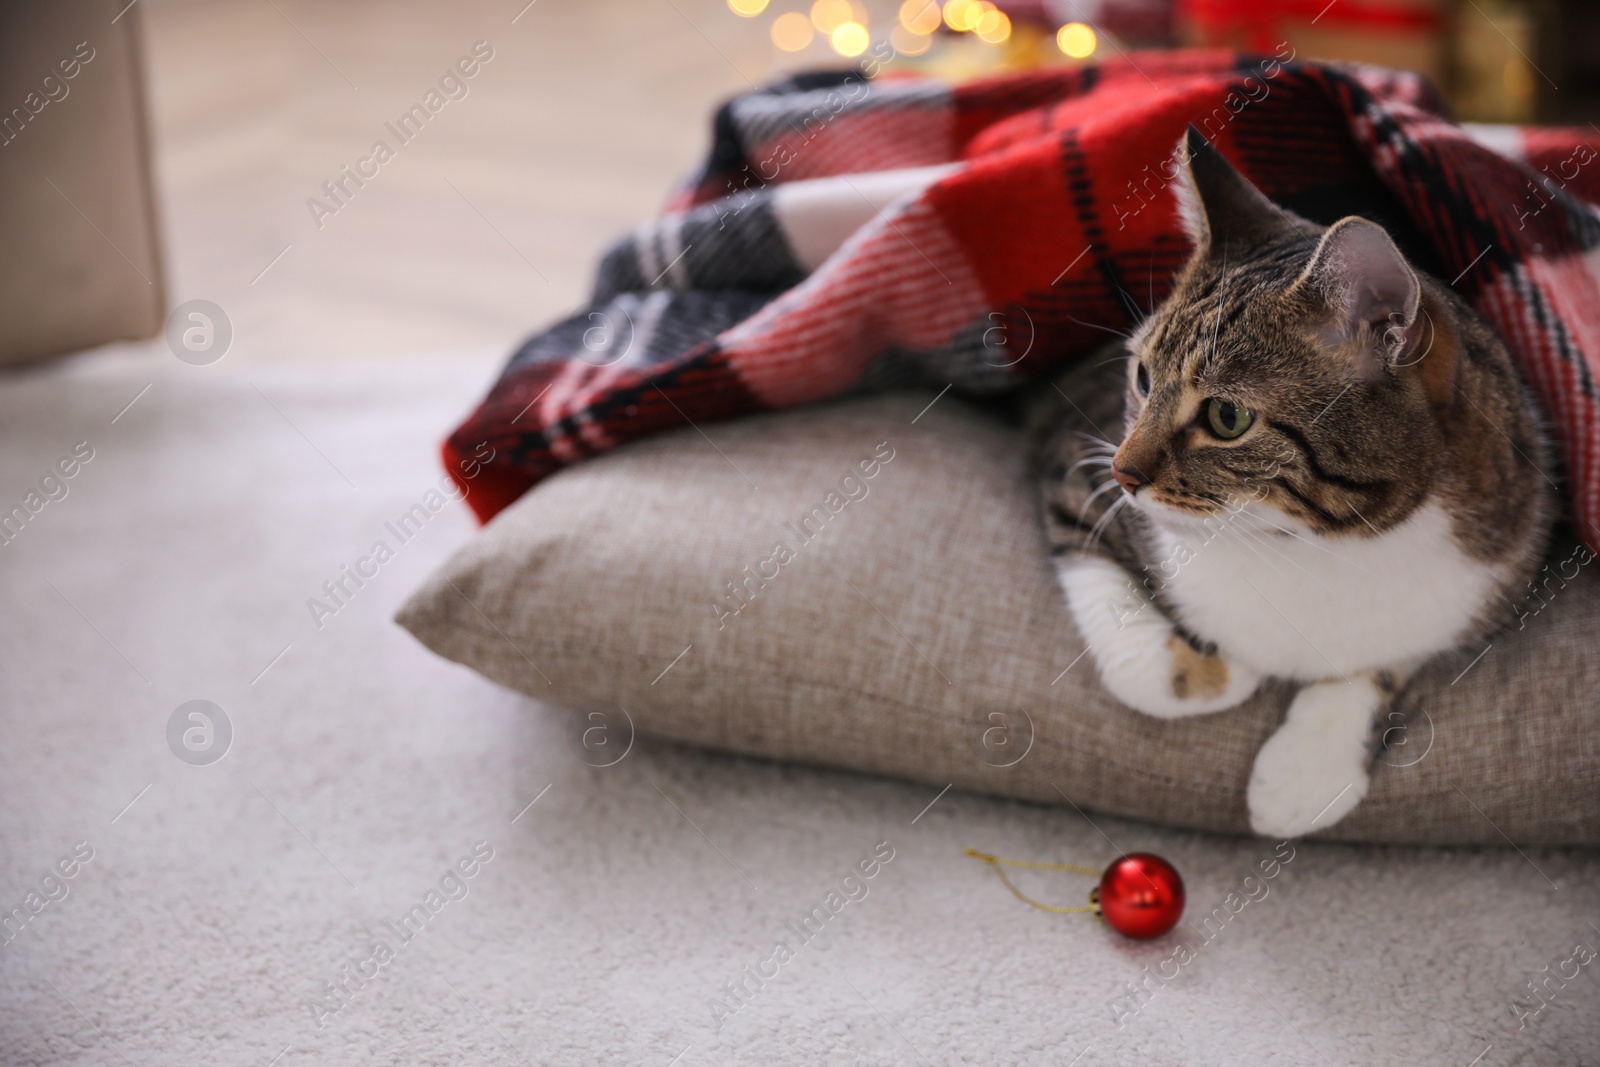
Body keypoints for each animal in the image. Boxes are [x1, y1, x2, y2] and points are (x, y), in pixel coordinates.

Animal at [1030, 129, 1555, 838]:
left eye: (1227, 417)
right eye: (1141, 377)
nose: (1123, 472)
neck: (1305, 543)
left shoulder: (1497, 566)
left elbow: (1391, 660)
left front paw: (1309, 769)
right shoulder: (1066, 449)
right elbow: (1131, 629)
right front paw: (1211, 669)